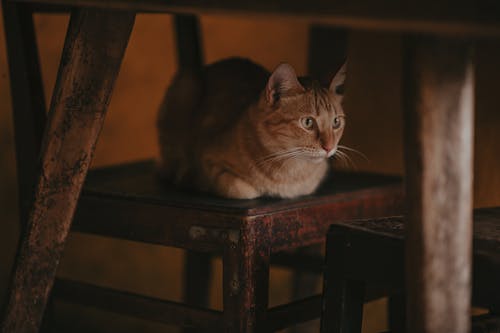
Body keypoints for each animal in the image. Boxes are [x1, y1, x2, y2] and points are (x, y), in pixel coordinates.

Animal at [158, 57, 346, 198]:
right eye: (307, 122)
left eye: (336, 122)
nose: (329, 147)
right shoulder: (206, 159)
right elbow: (241, 189)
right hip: (185, 86)